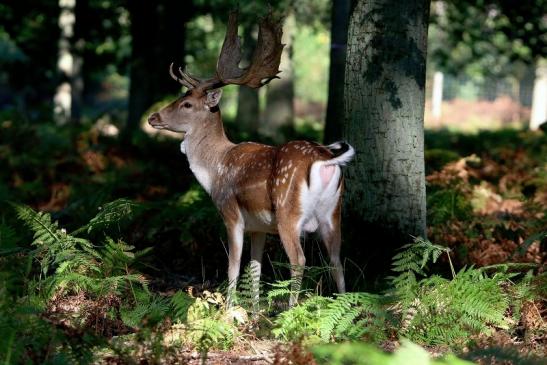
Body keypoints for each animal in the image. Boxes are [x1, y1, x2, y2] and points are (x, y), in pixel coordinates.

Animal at [149, 10, 356, 304]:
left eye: (187, 104)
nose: (153, 117)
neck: (215, 170)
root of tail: (326, 159)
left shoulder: (231, 213)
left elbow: (233, 266)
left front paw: (228, 307)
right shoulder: (259, 227)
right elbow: (255, 269)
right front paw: (254, 311)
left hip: (288, 212)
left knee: (299, 260)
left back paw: (291, 309)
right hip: (333, 213)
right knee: (337, 260)